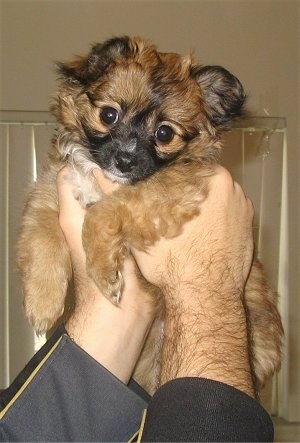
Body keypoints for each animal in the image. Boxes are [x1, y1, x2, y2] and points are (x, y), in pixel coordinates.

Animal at [17, 35, 282, 396]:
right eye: (109, 115)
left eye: (165, 134)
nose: (125, 160)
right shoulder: (51, 194)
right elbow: (42, 241)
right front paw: (42, 305)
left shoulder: (165, 195)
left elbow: (101, 214)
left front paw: (103, 273)